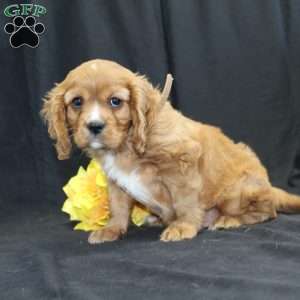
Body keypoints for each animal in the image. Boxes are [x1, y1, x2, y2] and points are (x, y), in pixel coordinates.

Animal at [41, 59, 300, 244]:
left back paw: (228, 220)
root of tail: (269, 186)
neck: (126, 146)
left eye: (115, 101)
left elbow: (184, 201)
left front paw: (183, 226)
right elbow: (118, 206)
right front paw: (112, 229)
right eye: (77, 102)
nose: (94, 126)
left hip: (237, 192)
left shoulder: (182, 165)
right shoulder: (115, 181)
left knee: (267, 211)